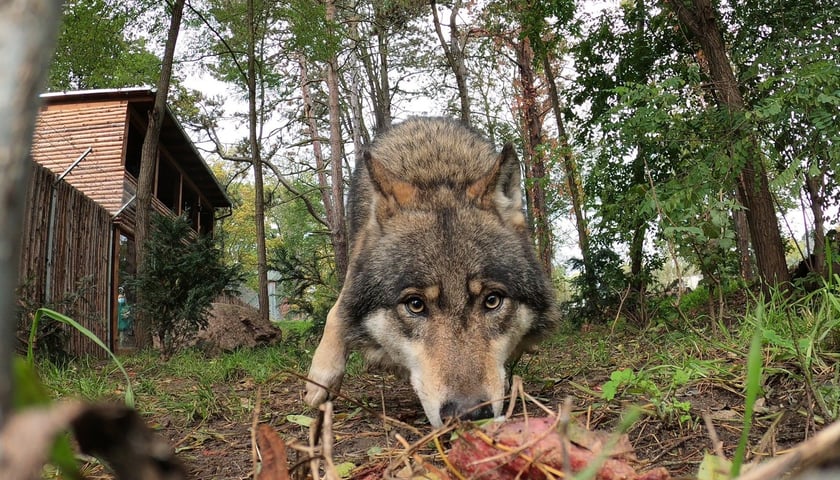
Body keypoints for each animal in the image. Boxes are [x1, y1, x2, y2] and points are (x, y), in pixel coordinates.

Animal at [304, 117, 556, 428]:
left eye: (492, 300)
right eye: (415, 304)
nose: (468, 414)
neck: (437, 174)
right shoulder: (355, 270)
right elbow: (337, 313)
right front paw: (321, 378)